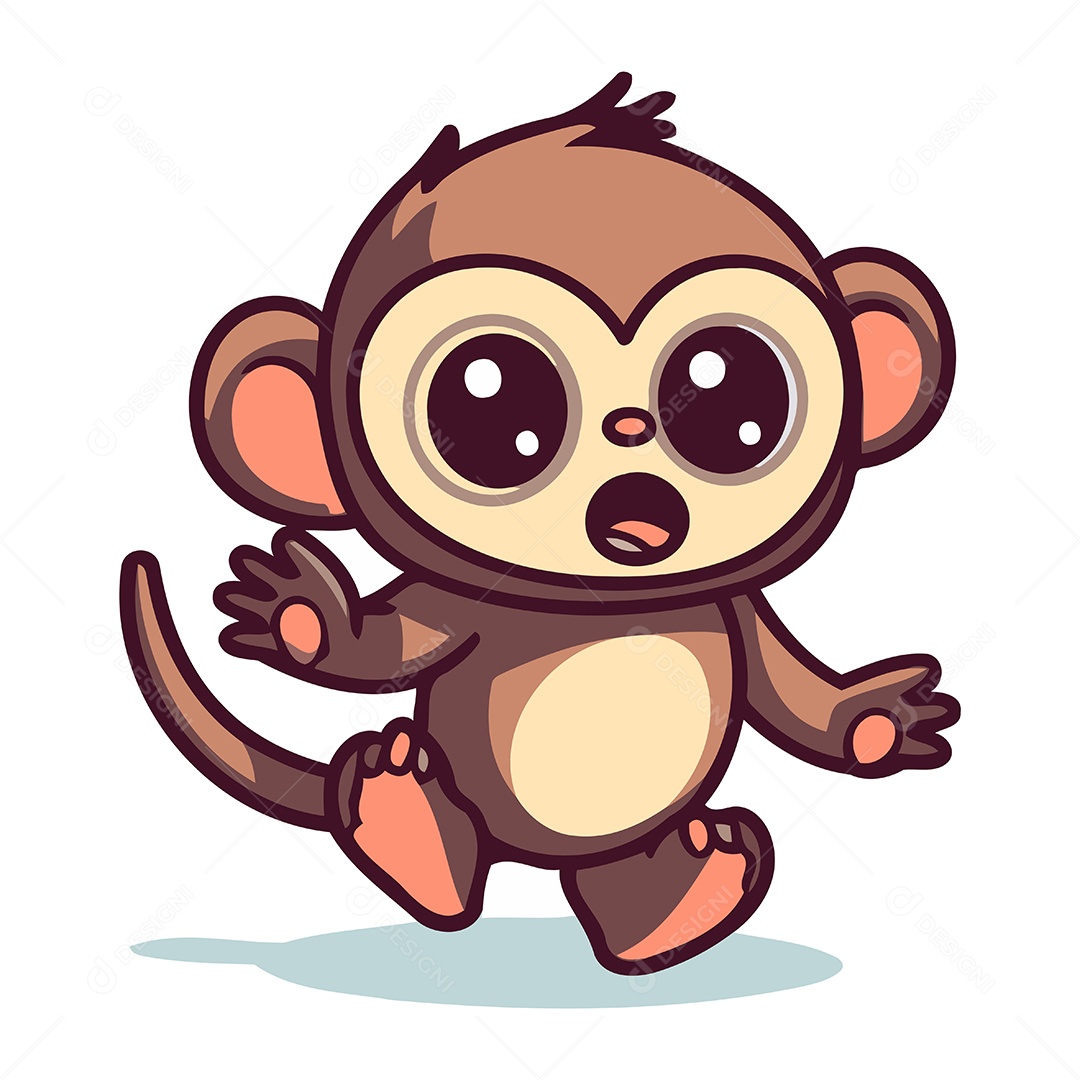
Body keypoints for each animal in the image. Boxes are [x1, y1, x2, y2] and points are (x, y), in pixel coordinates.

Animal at [120, 73, 959, 976]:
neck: (598, 607)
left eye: (733, 392)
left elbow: (794, 695)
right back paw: (404, 816)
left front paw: (879, 721)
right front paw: (301, 612)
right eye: (488, 401)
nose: (635, 461)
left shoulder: (739, 610)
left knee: (626, 880)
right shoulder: (466, 603)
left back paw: (681, 903)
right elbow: (383, 646)